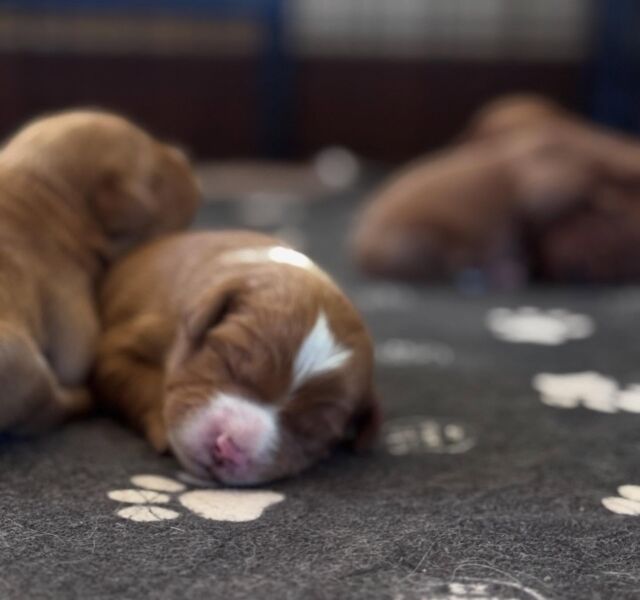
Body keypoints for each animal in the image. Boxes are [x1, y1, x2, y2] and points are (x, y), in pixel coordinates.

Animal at [0, 110, 199, 434]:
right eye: (156, 180)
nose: (185, 156)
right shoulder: (73, 326)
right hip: (19, 359)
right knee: (48, 407)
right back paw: (82, 399)